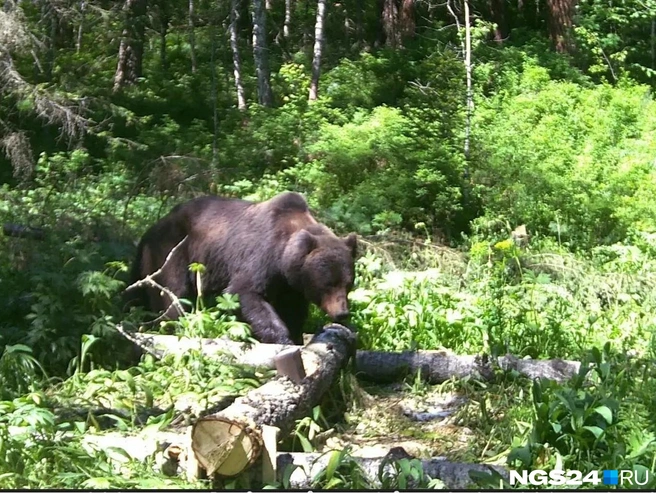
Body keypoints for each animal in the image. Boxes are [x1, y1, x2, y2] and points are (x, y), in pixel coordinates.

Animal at [125, 192, 358, 345]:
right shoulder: (260, 259)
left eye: (348, 284)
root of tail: (148, 233)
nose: (342, 313)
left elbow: (293, 310)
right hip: (173, 254)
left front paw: (296, 336)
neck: (283, 257)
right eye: (328, 284)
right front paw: (282, 339)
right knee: (172, 296)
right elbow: (244, 293)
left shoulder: (291, 285)